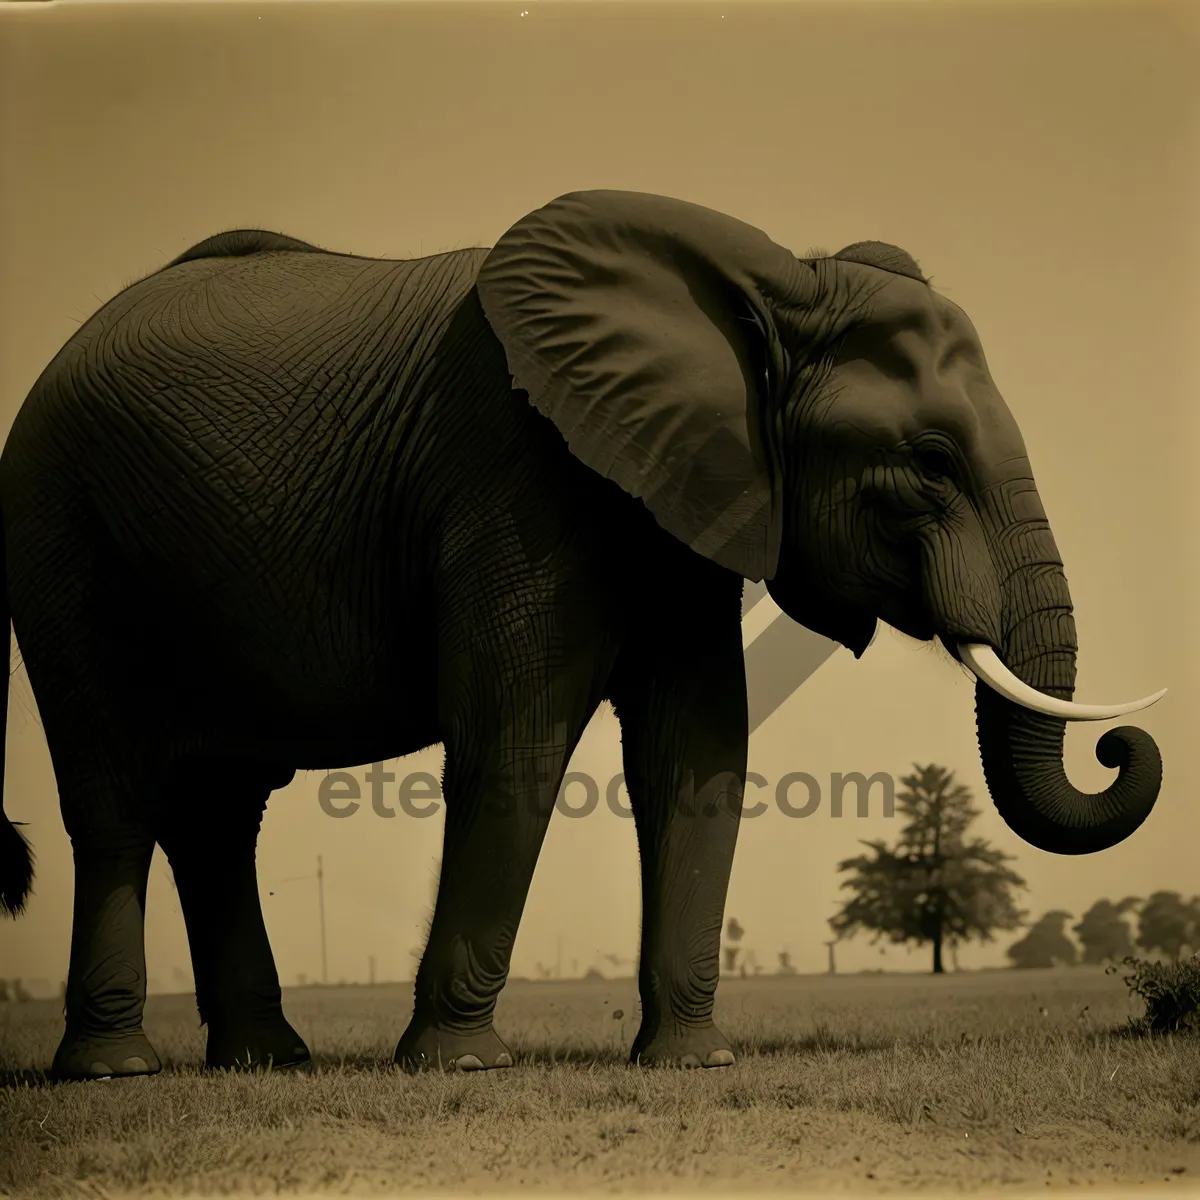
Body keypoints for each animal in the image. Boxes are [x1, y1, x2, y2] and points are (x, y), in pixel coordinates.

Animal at [0, 192, 1166, 1084]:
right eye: (928, 462)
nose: (1119, 744)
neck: (771, 291)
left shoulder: (692, 495)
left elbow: (700, 749)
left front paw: (692, 1062)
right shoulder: (514, 475)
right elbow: (516, 742)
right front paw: (462, 1068)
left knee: (219, 810)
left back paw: (265, 1061)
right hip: (59, 537)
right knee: (115, 797)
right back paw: (113, 1072)